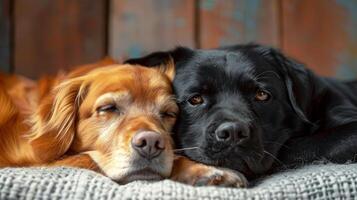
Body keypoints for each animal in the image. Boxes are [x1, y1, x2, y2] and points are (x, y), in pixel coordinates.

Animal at [0, 58, 245, 187]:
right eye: (108, 108)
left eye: (168, 113)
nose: (150, 143)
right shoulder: (25, 159)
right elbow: (90, 159)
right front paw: (207, 171)